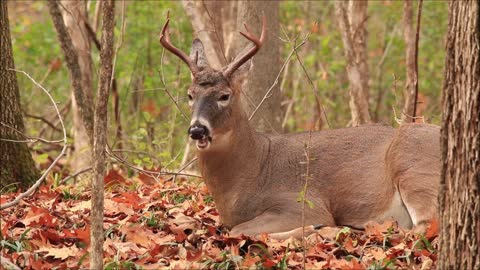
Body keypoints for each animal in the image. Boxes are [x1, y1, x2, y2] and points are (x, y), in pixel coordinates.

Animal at [159, 15, 440, 238]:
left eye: (224, 95)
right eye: (190, 94)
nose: (197, 130)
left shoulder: (302, 203)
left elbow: (239, 230)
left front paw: (316, 229)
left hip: (414, 167)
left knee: (424, 227)